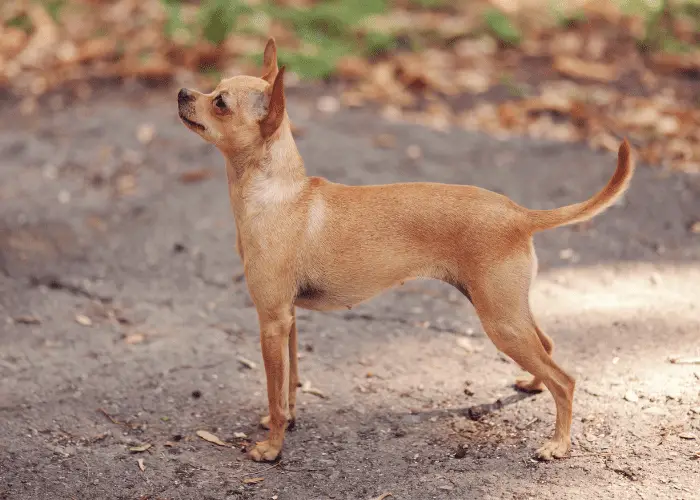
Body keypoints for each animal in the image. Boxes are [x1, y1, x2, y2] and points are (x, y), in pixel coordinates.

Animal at [176, 38, 636, 460]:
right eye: (214, 88)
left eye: (220, 103)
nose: (182, 92)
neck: (279, 194)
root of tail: (519, 214)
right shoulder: (287, 321)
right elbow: (288, 385)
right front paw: (286, 423)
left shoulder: (271, 321)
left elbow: (274, 390)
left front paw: (271, 448)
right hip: (508, 313)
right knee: (548, 347)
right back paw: (533, 386)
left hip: (500, 322)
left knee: (565, 380)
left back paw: (558, 444)